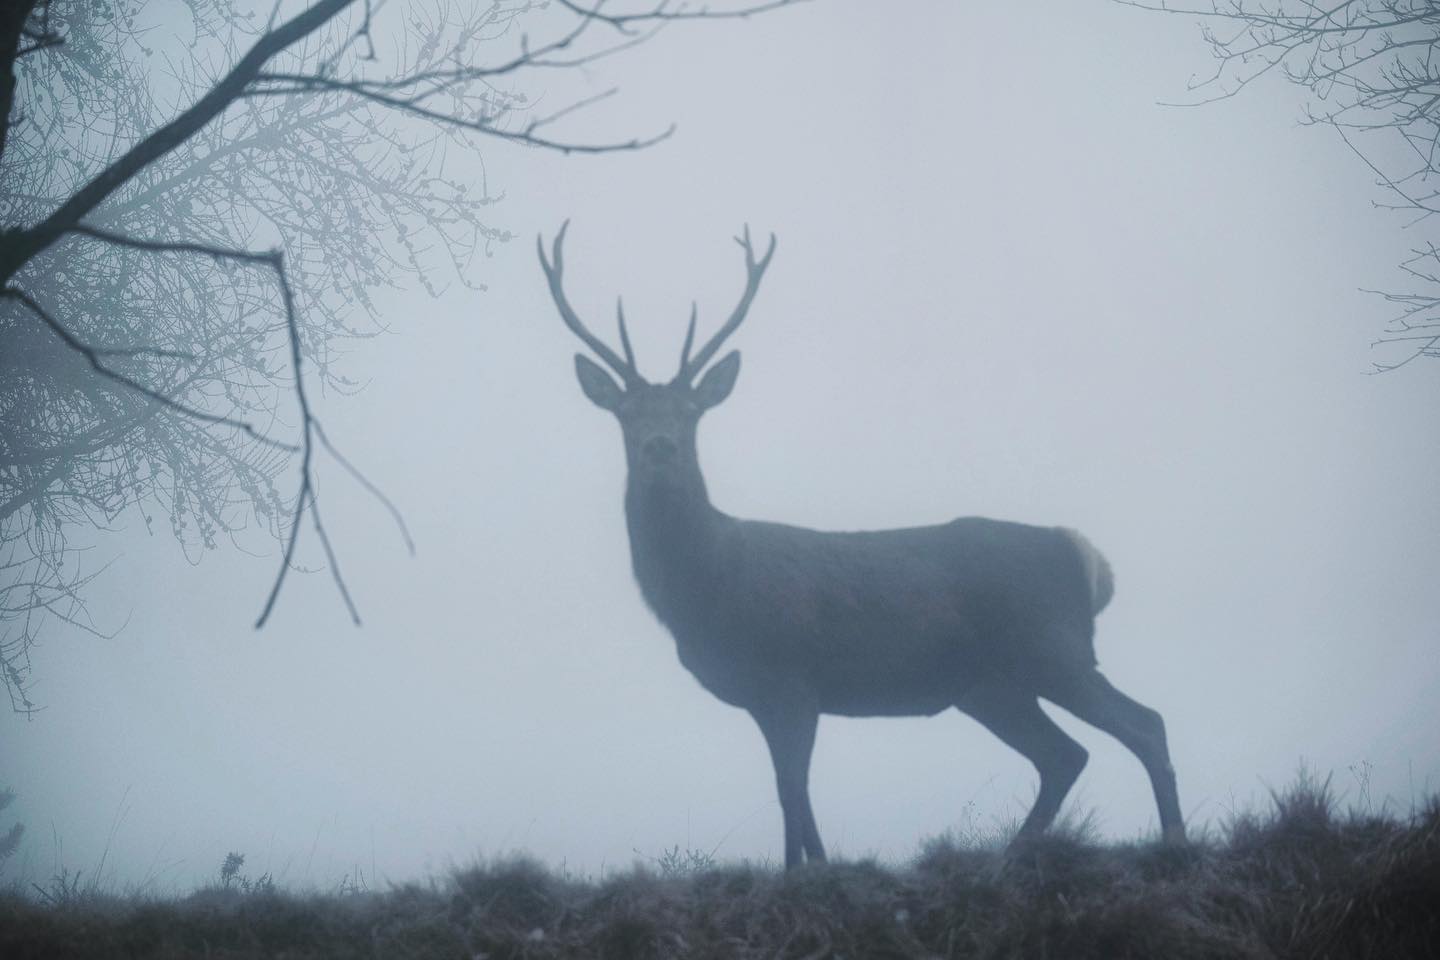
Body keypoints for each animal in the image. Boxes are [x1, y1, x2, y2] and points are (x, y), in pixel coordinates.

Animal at [538, 222, 1186, 868]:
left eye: (692, 412)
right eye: (626, 414)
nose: (660, 447)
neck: (708, 589)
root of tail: (1087, 558)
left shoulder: (793, 676)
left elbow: (791, 789)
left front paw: (801, 873)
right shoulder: (767, 697)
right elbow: (792, 793)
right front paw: (818, 868)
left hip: (1051, 646)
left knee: (1144, 724)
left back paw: (1174, 843)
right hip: (992, 685)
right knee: (1064, 754)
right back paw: (1012, 856)